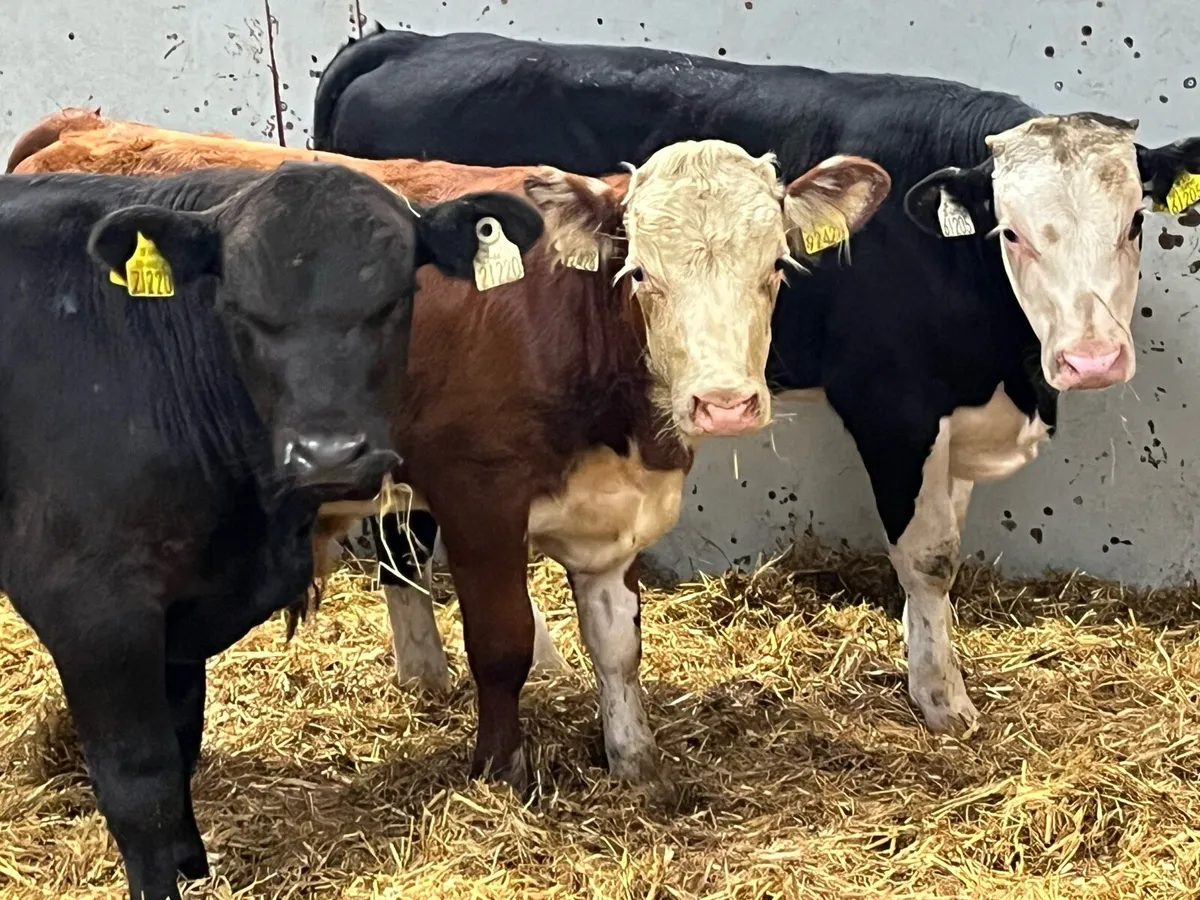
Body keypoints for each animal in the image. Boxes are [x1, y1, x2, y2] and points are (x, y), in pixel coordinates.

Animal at [0, 162, 541, 900]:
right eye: (240, 308)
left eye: (396, 297)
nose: (329, 454)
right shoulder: (93, 609)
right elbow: (140, 784)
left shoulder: (182, 604)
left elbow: (183, 739)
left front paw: (192, 864)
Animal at [9, 112, 894, 788]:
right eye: (641, 273)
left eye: (775, 264)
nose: (724, 403)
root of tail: (83, 127)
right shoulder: (479, 496)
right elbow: (499, 644)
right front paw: (501, 772)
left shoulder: (610, 517)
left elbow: (618, 646)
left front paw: (635, 763)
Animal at [311, 27, 1200, 736]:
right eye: (1010, 232)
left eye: (1135, 223)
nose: (1092, 359)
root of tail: (405, 41)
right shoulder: (893, 406)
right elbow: (927, 557)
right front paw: (942, 701)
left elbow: (943, 548)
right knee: (403, 532)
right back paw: (433, 673)